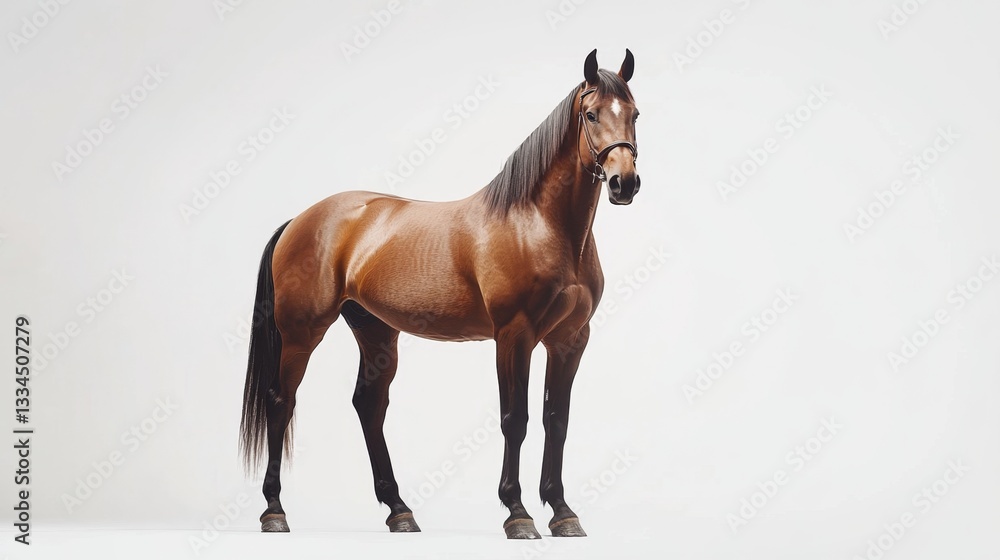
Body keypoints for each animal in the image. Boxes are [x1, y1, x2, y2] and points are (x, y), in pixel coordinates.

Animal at [240, 48, 641, 539]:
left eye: (635, 114)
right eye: (591, 114)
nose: (625, 183)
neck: (538, 224)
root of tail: (299, 219)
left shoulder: (569, 340)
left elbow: (556, 421)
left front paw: (563, 512)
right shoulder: (514, 336)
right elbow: (515, 420)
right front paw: (518, 512)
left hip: (375, 331)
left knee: (368, 406)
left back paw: (399, 510)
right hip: (301, 332)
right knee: (282, 402)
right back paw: (274, 510)